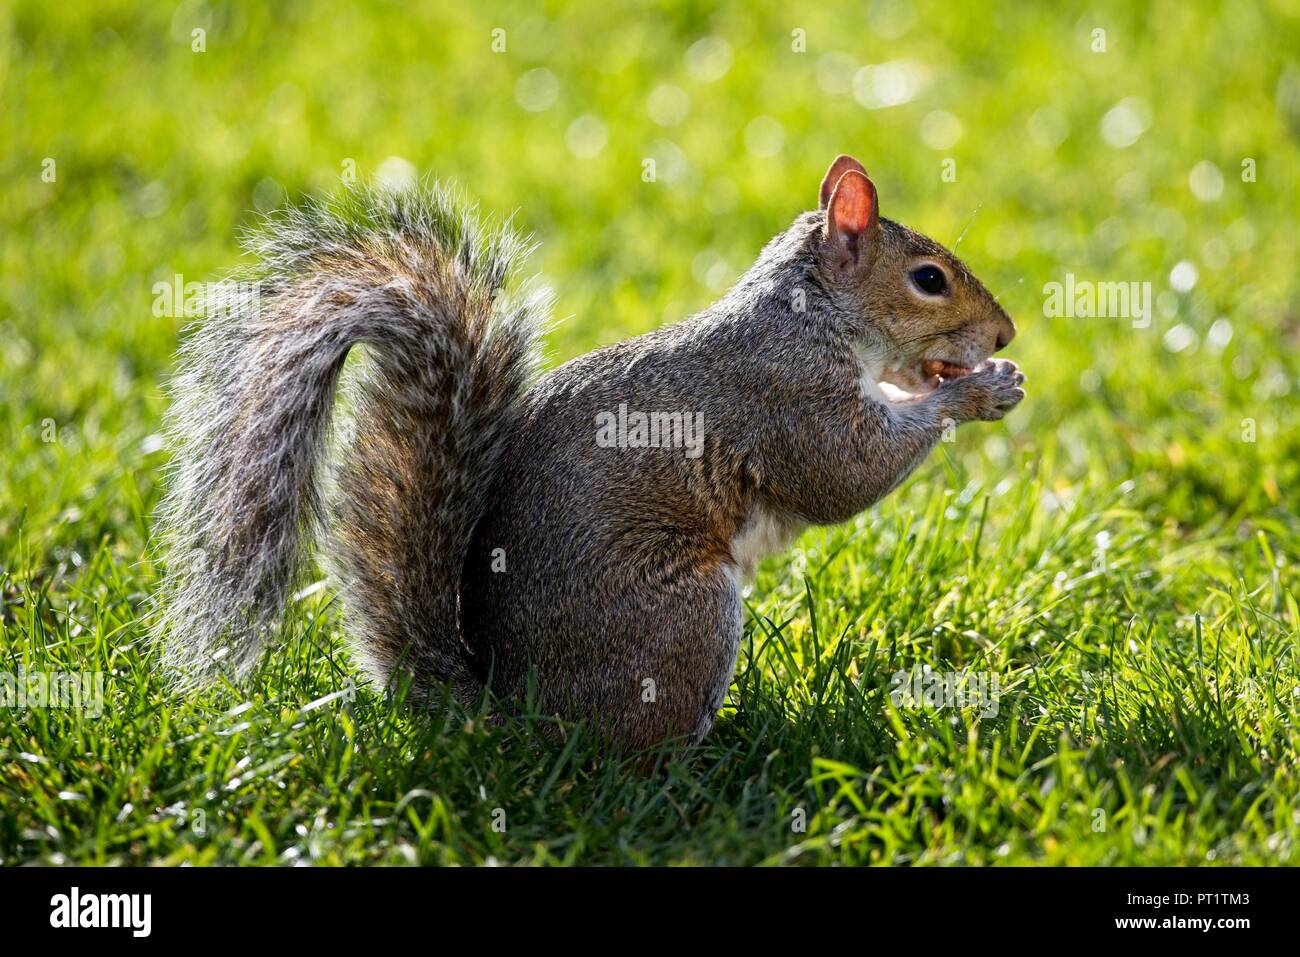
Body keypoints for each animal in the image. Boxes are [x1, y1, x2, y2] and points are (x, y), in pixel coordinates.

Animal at [154, 155, 1024, 754]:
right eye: (929, 279)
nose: (1007, 334)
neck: (808, 314)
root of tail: (520, 713)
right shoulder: (787, 397)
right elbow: (844, 474)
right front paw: (978, 392)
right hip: (683, 617)